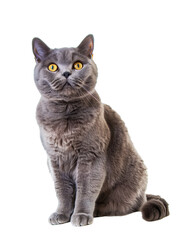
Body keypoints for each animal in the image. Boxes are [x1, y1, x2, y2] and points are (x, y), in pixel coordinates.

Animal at [31, 34, 169, 226]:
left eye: (77, 65)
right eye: (52, 67)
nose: (66, 73)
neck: (65, 115)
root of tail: (144, 196)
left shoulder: (90, 156)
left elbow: (86, 189)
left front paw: (81, 215)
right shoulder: (54, 159)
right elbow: (62, 190)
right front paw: (61, 214)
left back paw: (96, 211)